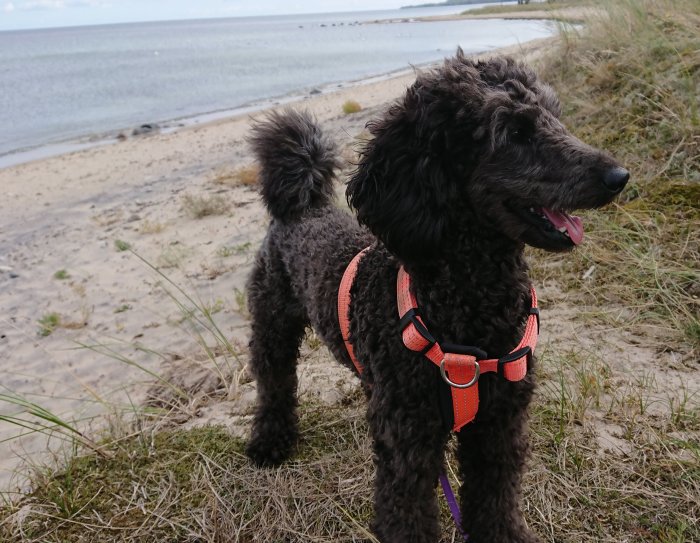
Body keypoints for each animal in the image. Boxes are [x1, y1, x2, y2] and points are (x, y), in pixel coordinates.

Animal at [246, 52, 628, 543]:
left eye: (554, 116)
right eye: (515, 133)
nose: (619, 176)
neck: (469, 307)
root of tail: (302, 206)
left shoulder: (498, 429)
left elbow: (496, 502)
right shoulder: (408, 446)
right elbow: (406, 515)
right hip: (271, 322)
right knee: (273, 382)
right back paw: (269, 442)